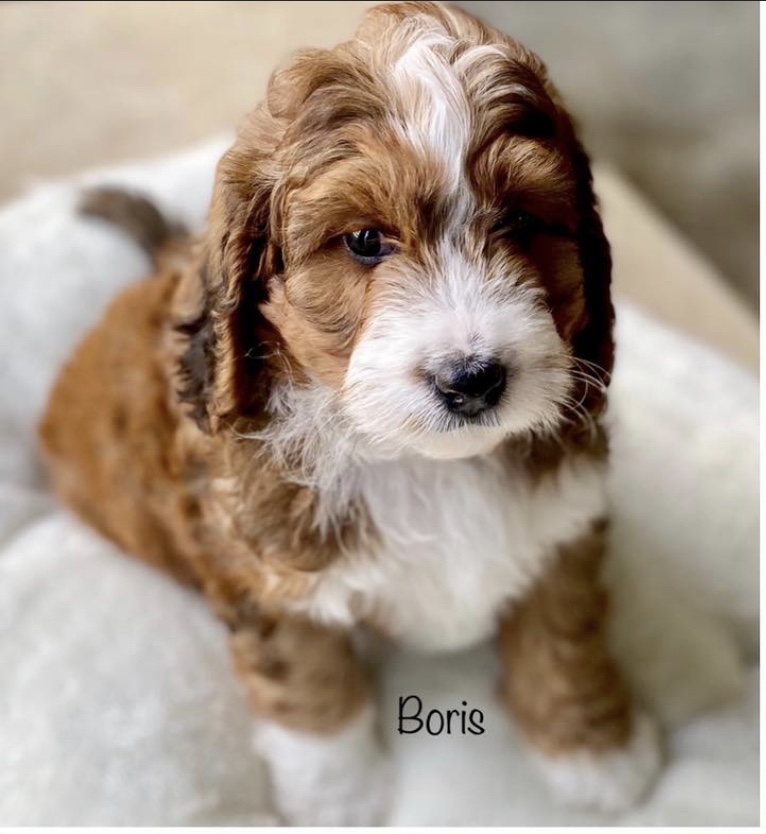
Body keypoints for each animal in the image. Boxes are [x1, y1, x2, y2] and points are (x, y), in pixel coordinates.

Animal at [39, 1, 661, 824]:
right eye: (365, 240)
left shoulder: (563, 522)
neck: (418, 459)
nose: (473, 379)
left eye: (524, 223)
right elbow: (310, 691)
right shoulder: (265, 573)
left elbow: (563, 634)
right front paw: (340, 798)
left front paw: (593, 749)